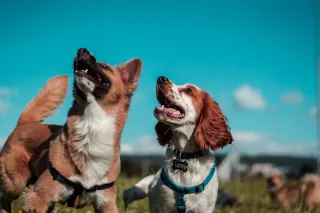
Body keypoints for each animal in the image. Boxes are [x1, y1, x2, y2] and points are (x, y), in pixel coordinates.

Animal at [0, 47, 142, 212]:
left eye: (105, 67)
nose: (82, 50)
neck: (91, 124)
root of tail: (24, 123)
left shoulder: (106, 203)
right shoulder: (38, 196)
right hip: (15, 183)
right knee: (4, 199)